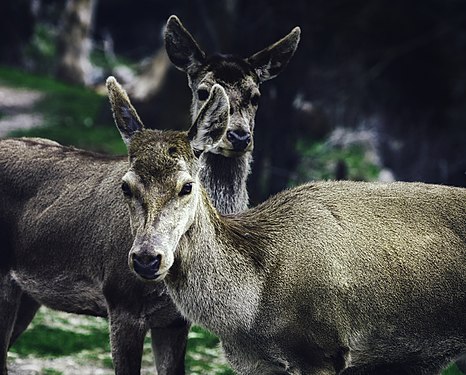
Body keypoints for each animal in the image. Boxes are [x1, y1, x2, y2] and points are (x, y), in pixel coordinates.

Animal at [0, 15, 300, 375]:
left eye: (255, 95)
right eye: (203, 90)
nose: (238, 135)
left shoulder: (176, 320)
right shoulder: (121, 301)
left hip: (27, 294)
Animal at [113, 81, 466, 374]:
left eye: (187, 186)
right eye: (126, 186)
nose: (147, 257)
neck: (251, 311)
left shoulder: (322, 349)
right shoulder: (257, 365)